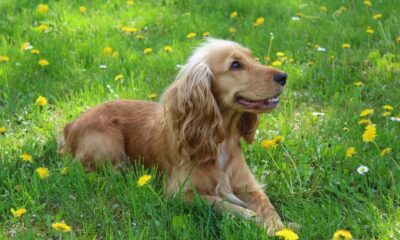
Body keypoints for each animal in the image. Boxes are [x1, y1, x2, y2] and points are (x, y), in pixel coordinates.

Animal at [60, 38, 288, 235]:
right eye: (235, 65)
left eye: (252, 58)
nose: (284, 76)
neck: (221, 140)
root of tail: (70, 125)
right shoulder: (179, 193)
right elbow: (219, 202)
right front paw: (250, 216)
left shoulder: (250, 186)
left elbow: (268, 207)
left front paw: (278, 228)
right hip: (109, 143)